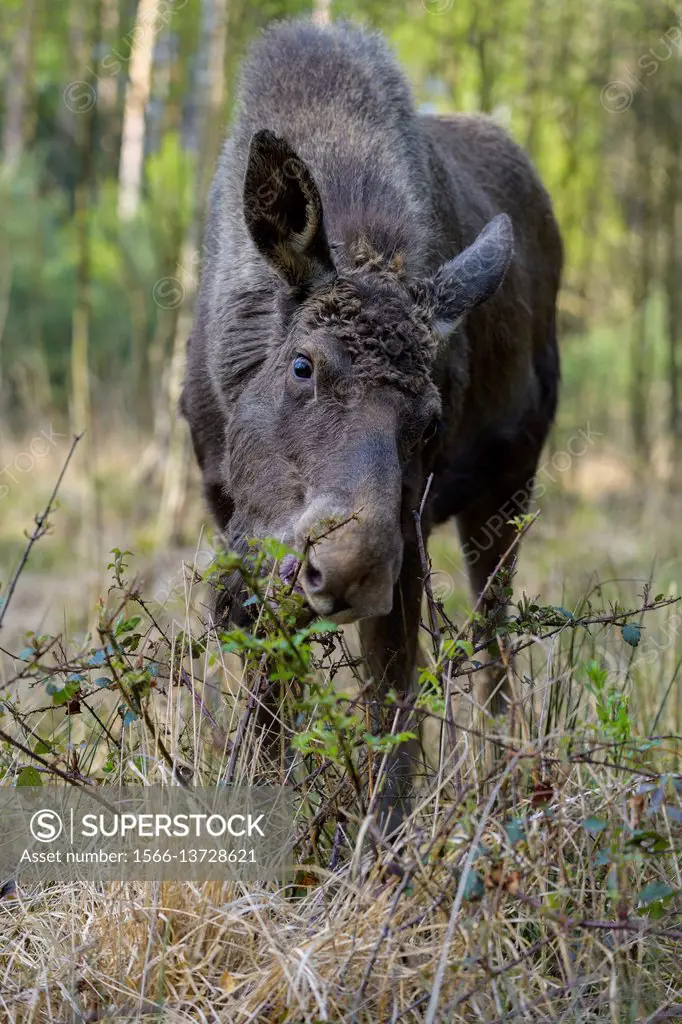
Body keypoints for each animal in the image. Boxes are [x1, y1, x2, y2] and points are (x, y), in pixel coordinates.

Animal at [180, 16, 557, 827]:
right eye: (303, 366)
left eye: (431, 419)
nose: (351, 567)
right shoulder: (230, 516)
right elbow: (270, 711)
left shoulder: (408, 531)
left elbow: (394, 714)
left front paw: (380, 842)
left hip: (509, 490)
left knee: (494, 647)